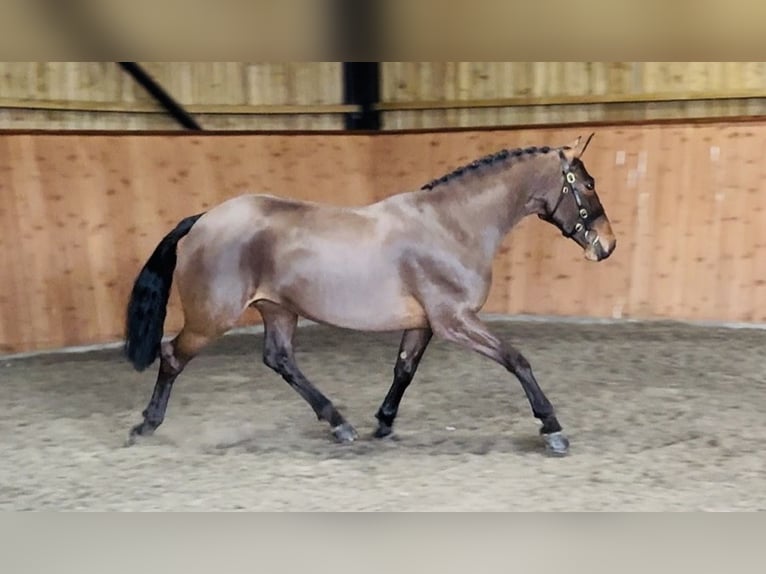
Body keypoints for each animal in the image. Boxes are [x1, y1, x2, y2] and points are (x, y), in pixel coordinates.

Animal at [123, 133, 616, 456]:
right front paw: (551, 428)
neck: (451, 226)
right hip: (211, 318)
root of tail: (203, 219)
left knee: (279, 359)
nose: (607, 245)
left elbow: (404, 370)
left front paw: (383, 422)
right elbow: (517, 360)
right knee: (172, 357)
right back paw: (145, 426)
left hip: (278, 310)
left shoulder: (424, 323)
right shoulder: (455, 320)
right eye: (588, 184)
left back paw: (339, 424)